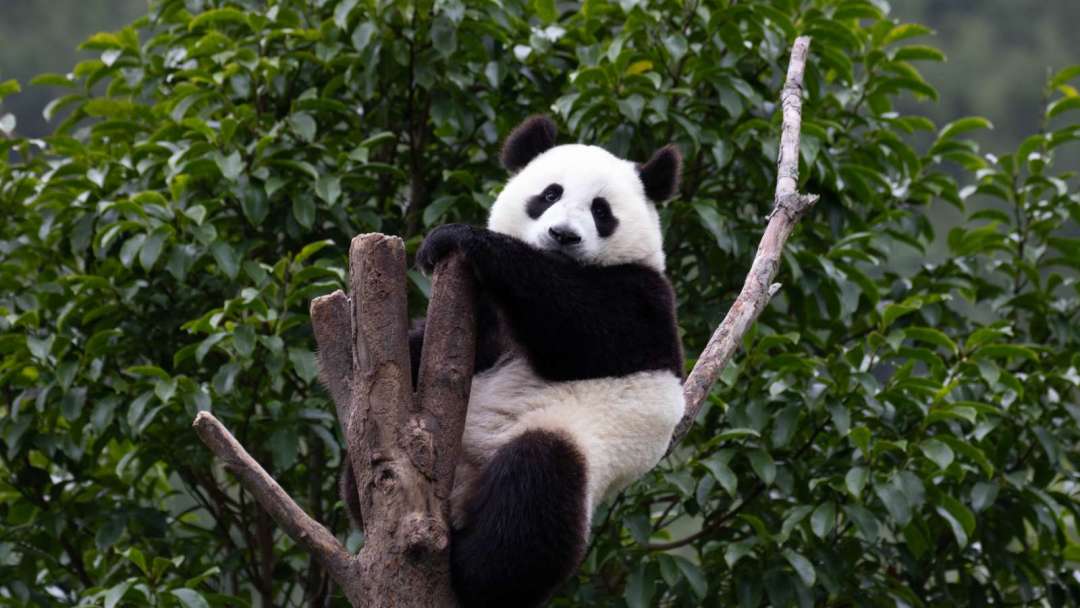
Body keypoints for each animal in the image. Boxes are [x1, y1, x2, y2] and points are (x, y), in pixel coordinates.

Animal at [343, 115, 685, 608]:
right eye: (550, 194)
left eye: (601, 211)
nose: (563, 236)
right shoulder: (482, 312)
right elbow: (428, 345)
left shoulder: (647, 302)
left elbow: (586, 329)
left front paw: (458, 237)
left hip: (577, 445)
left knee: (535, 492)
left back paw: (475, 573)